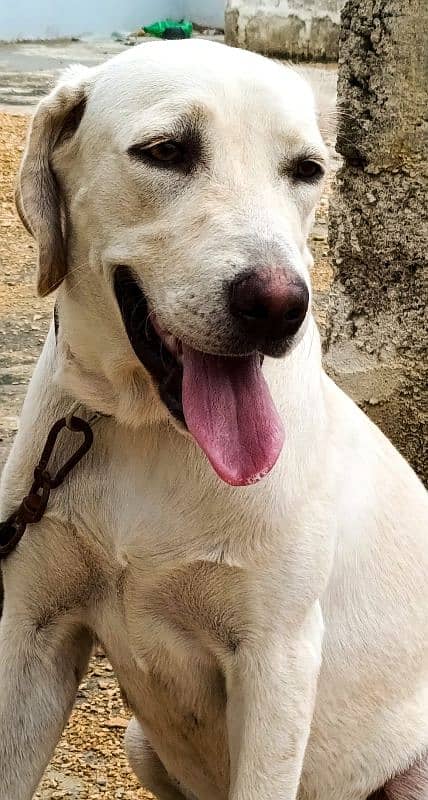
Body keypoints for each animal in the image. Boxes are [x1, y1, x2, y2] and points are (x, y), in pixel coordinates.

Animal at [0, 39, 426, 800]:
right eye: (167, 151)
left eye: (307, 170)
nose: (280, 307)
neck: (146, 430)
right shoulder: (33, 631)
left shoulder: (277, 660)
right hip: (141, 744)